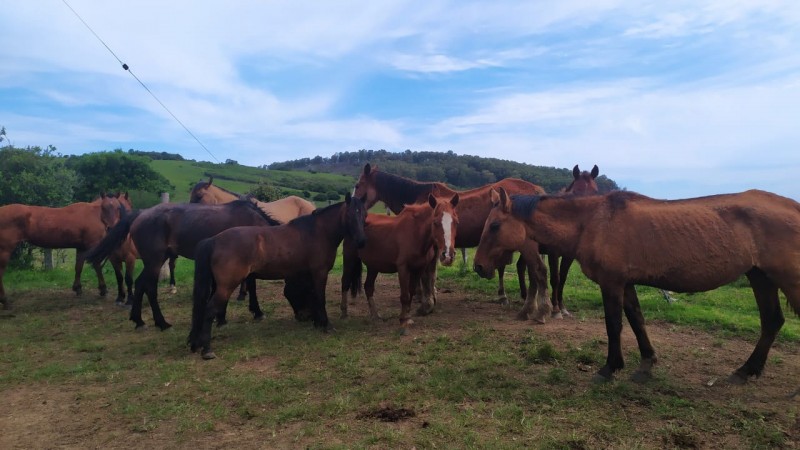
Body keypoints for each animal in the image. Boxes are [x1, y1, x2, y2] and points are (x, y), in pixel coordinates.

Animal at [86, 200, 302, 330]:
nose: (301, 316)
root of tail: (140, 214)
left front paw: (221, 317)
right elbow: (250, 286)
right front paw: (256, 312)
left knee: (140, 285)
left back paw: (139, 320)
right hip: (155, 261)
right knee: (149, 287)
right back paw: (161, 322)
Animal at [189, 192, 368, 358]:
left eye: (364, 215)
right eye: (350, 215)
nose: (361, 241)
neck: (318, 232)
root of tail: (213, 240)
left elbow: (313, 297)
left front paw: (317, 322)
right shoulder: (320, 273)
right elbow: (319, 298)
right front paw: (325, 324)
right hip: (225, 287)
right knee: (209, 310)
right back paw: (207, 349)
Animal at [340, 192, 460, 330]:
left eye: (456, 222)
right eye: (435, 222)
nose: (448, 256)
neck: (415, 234)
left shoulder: (418, 269)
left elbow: (411, 292)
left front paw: (407, 316)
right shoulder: (403, 268)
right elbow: (404, 295)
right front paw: (403, 319)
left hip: (373, 266)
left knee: (368, 287)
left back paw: (375, 315)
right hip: (349, 258)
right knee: (345, 282)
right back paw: (344, 314)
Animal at [484, 186, 800, 384]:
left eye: (495, 226)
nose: (479, 267)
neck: (593, 221)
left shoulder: (611, 283)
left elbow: (614, 325)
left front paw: (610, 367)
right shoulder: (626, 284)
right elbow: (636, 320)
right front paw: (647, 362)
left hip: (787, 280)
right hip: (760, 277)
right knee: (772, 321)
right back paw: (746, 370)